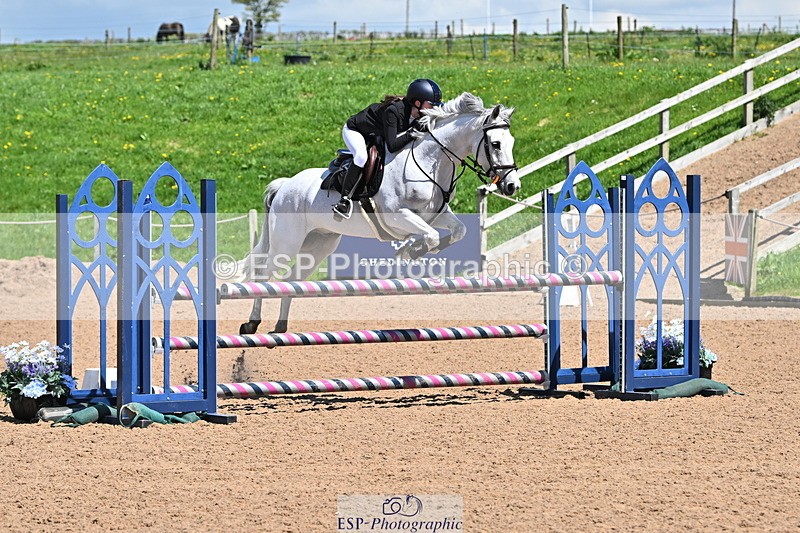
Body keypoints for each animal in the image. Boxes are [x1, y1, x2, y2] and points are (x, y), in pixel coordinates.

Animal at [239, 92, 520, 335]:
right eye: (495, 144)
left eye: (512, 143)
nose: (512, 186)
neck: (429, 160)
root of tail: (284, 185)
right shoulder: (398, 216)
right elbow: (429, 235)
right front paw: (413, 249)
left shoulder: (436, 215)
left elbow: (457, 231)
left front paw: (414, 249)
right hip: (287, 242)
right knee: (264, 275)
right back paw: (251, 324)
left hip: (319, 244)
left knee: (291, 279)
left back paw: (280, 327)